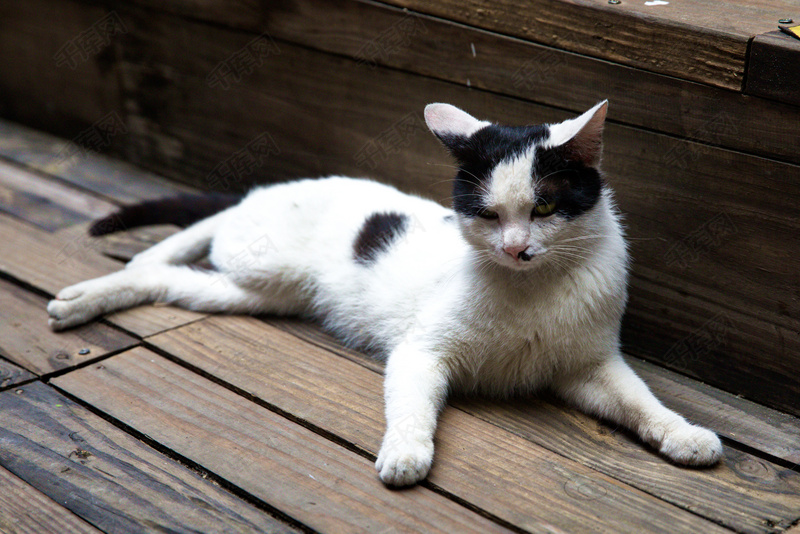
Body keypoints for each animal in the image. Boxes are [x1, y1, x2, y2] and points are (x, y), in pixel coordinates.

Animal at [50, 101, 724, 490]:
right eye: (487, 213)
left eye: (545, 208)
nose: (515, 249)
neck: (531, 290)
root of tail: (263, 191)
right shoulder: (420, 353)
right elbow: (413, 408)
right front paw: (405, 453)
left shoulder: (588, 367)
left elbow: (639, 402)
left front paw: (683, 435)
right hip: (259, 262)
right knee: (178, 250)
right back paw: (83, 295)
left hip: (253, 292)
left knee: (170, 277)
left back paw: (86, 296)